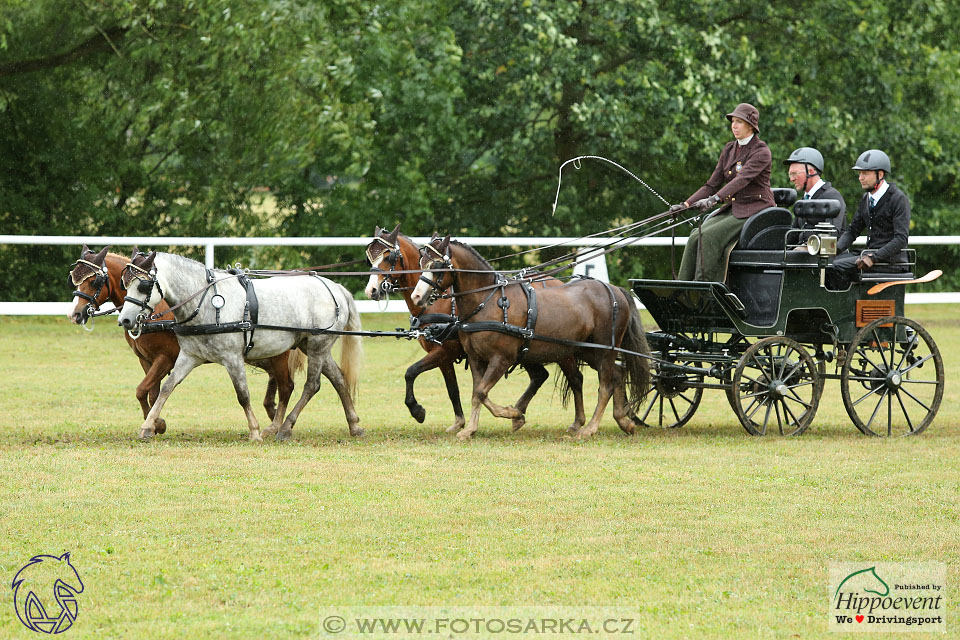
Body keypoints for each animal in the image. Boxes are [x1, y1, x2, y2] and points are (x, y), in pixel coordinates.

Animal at [69, 245, 302, 436]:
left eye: (93, 281)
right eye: (73, 279)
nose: (75, 314)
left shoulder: (165, 358)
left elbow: (142, 389)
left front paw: (156, 423)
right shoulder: (146, 359)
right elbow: (151, 392)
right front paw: (154, 423)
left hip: (277, 355)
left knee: (286, 386)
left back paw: (279, 423)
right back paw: (273, 414)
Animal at [116, 250, 362, 440]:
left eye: (143, 285)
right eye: (124, 283)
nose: (125, 320)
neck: (206, 302)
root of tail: (334, 287)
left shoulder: (232, 358)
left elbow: (242, 394)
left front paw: (254, 431)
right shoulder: (189, 356)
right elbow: (167, 388)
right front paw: (148, 426)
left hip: (318, 345)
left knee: (311, 385)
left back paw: (285, 428)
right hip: (310, 344)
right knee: (338, 379)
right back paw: (354, 425)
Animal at [364, 225, 584, 436]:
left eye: (388, 256)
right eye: (369, 258)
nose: (371, 290)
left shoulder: (445, 351)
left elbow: (411, 372)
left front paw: (417, 411)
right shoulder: (445, 356)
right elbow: (453, 389)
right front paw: (459, 422)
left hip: (560, 351)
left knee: (575, 379)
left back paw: (574, 422)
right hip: (527, 351)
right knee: (540, 376)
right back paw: (518, 414)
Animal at [408, 236, 648, 440]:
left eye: (436, 265)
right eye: (420, 262)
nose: (417, 296)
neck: (488, 300)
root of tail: (614, 289)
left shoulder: (501, 358)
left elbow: (482, 391)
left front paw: (512, 413)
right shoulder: (476, 359)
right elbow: (478, 393)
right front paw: (473, 428)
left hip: (604, 349)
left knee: (605, 385)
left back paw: (590, 428)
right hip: (586, 350)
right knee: (616, 375)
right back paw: (623, 421)